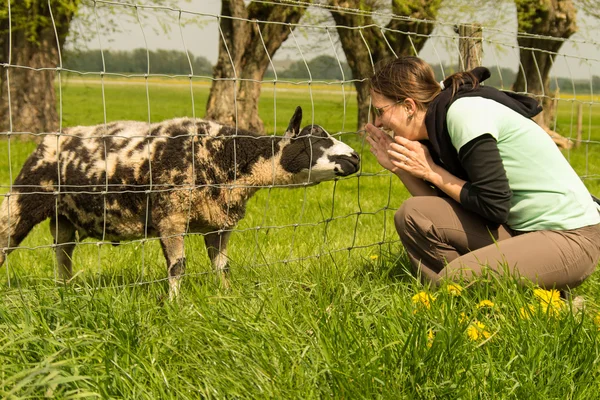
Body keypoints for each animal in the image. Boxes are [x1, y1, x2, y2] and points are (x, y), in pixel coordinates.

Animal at [0, 106, 360, 296]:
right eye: (314, 141)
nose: (356, 157)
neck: (228, 156)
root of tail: (48, 140)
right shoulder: (171, 216)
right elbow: (178, 266)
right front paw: (175, 305)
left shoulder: (219, 224)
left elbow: (222, 266)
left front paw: (227, 296)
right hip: (24, 200)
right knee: (7, 240)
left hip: (64, 217)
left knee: (62, 253)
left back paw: (65, 290)